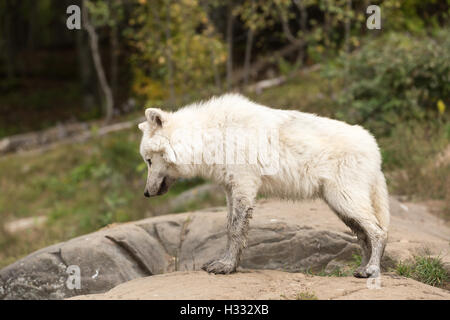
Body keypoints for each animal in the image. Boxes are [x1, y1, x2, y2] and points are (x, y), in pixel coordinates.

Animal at [139, 93, 388, 278]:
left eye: (148, 160)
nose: (146, 193)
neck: (213, 137)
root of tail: (375, 147)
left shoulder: (244, 186)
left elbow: (236, 229)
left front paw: (226, 267)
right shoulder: (230, 189)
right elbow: (229, 228)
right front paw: (229, 263)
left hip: (344, 200)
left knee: (378, 232)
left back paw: (371, 270)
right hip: (340, 207)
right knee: (364, 236)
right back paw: (362, 269)